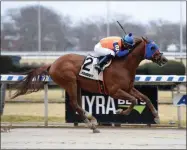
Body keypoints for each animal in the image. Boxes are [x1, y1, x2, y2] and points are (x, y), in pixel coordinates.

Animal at [11, 36, 168, 132]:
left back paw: (91, 119)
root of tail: (52, 64)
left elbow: (145, 98)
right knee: (74, 104)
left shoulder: (128, 88)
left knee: (78, 104)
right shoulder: (114, 91)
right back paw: (92, 125)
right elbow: (134, 100)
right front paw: (120, 111)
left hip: (77, 85)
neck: (123, 65)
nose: (164, 59)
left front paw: (156, 117)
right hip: (70, 83)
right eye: (153, 47)